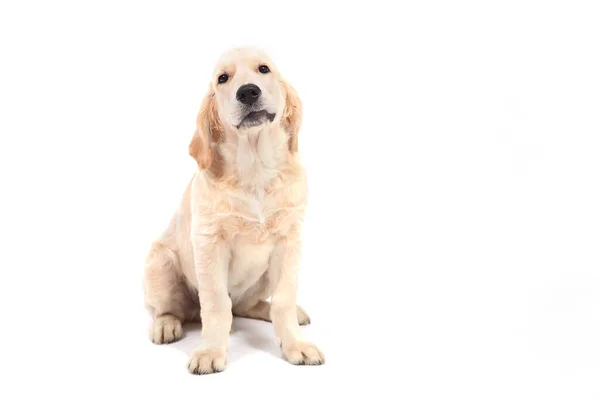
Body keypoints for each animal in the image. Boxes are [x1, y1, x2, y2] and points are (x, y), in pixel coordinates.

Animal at [142, 47, 324, 376]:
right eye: (223, 79)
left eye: (263, 69)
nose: (248, 92)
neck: (256, 170)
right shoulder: (210, 242)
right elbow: (216, 305)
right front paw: (210, 351)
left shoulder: (289, 240)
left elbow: (283, 299)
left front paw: (295, 345)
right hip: (159, 263)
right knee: (171, 310)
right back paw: (166, 326)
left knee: (244, 306)